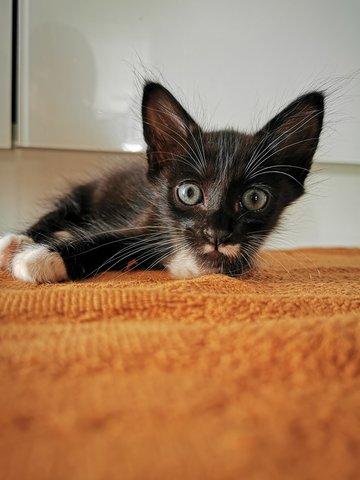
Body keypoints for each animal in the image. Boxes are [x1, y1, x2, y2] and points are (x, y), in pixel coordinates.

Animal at [0, 83, 324, 284]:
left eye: (254, 199)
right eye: (189, 193)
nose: (216, 234)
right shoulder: (146, 219)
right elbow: (113, 238)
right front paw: (40, 256)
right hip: (84, 194)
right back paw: (18, 241)